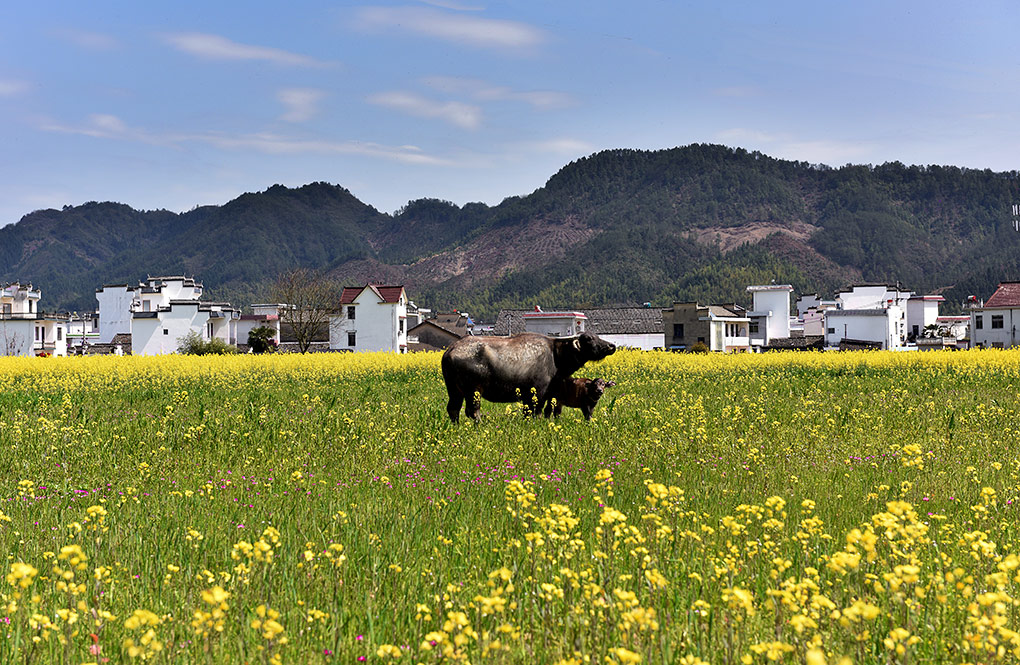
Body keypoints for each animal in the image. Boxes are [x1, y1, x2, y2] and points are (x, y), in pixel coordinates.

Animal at [438, 330, 612, 424]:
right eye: (589, 339)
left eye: (596, 336)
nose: (612, 346)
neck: (554, 355)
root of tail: (451, 350)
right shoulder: (536, 393)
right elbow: (534, 412)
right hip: (473, 390)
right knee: (473, 411)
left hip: (454, 390)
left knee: (453, 409)